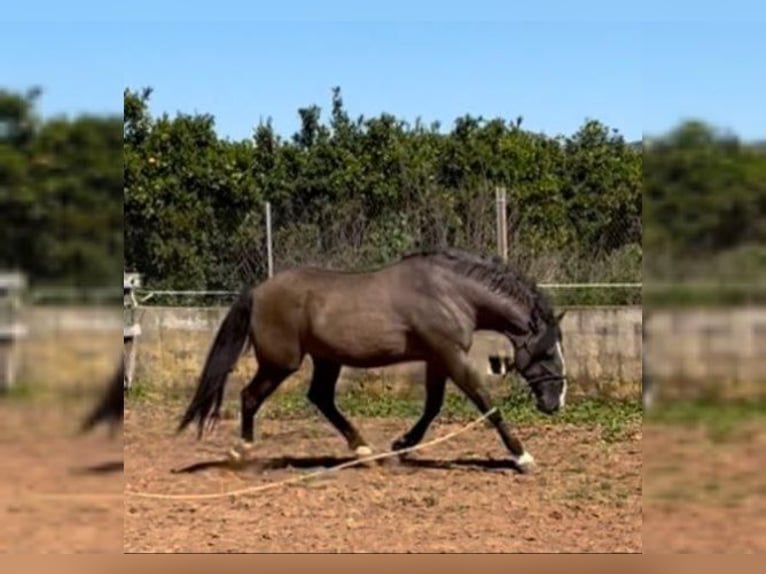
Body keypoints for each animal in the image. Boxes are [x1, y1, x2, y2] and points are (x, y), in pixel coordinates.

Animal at [177, 248, 568, 473]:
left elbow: (433, 406)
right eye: (548, 351)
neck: (451, 292)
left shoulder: (437, 358)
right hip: (281, 363)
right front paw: (522, 457)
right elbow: (485, 403)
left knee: (320, 397)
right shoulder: (451, 355)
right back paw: (240, 451)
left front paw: (401, 447)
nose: (556, 402)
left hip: (326, 359)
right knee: (250, 396)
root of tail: (258, 291)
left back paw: (363, 449)